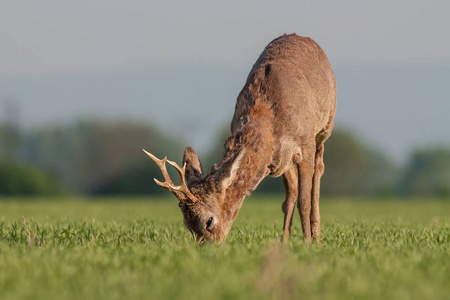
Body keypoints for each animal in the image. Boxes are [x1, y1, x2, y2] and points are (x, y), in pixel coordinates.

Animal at [142, 33, 336, 244]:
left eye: (208, 221)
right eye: (187, 226)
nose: (209, 246)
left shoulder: (305, 142)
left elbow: (304, 201)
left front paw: (308, 242)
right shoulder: (279, 157)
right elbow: (291, 197)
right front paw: (287, 240)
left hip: (325, 127)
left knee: (319, 171)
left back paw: (315, 233)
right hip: (286, 161)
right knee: (291, 192)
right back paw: (285, 239)